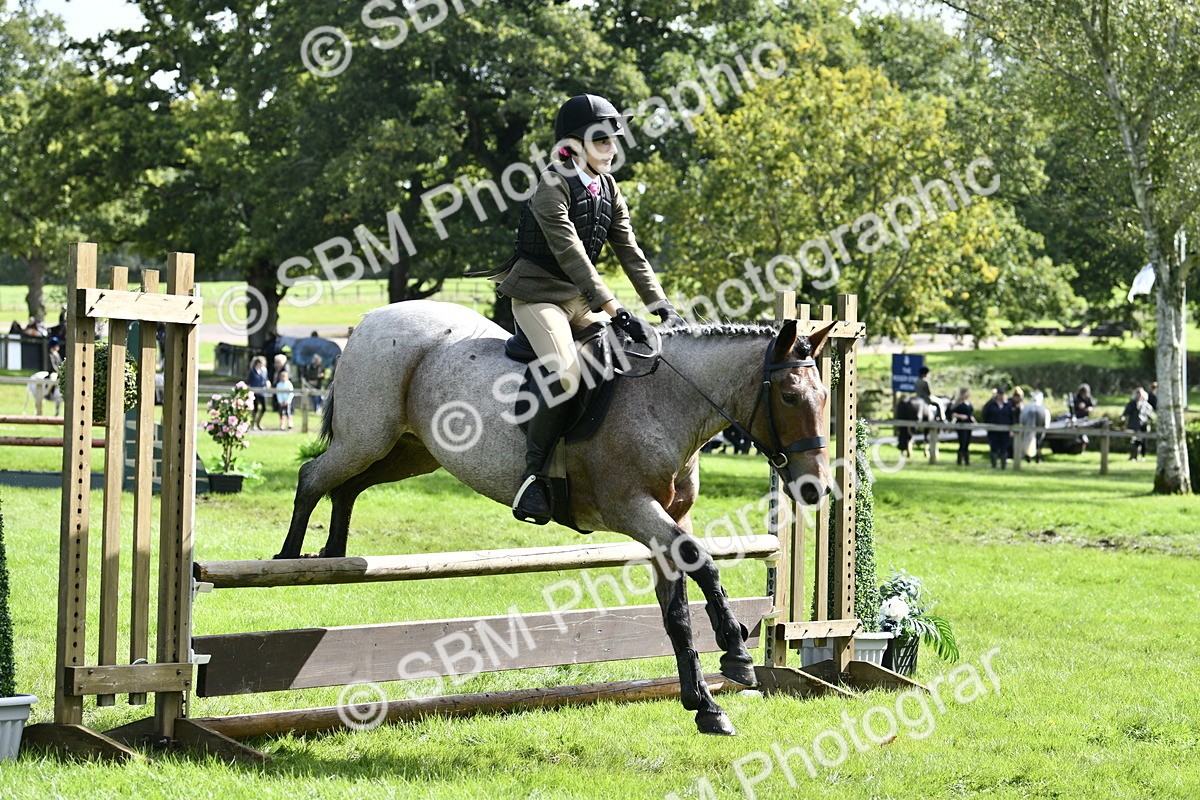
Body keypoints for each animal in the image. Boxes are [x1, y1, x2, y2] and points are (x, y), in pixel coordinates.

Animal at [277, 300, 835, 736]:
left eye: (827, 398)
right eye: (789, 396)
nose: (817, 488)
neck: (666, 403)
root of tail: (372, 318)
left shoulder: (669, 521)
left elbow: (676, 611)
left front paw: (706, 705)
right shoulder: (632, 510)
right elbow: (703, 563)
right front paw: (737, 654)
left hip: (409, 452)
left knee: (346, 485)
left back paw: (333, 552)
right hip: (368, 438)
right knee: (312, 475)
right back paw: (287, 557)